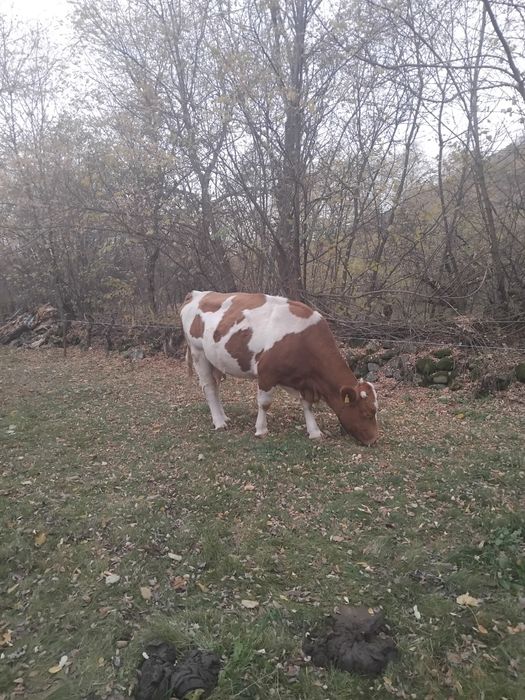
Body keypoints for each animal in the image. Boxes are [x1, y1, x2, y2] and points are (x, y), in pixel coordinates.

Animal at [180, 291, 379, 446]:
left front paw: (314, 432)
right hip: (199, 353)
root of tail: (197, 294)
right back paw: (220, 422)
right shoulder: (266, 374)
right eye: (367, 413)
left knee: (216, 387)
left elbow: (307, 405)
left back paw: (224, 417)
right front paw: (261, 430)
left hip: (215, 360)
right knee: (209, 388)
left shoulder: (304, 381)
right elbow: (264, 403)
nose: (373, 440)